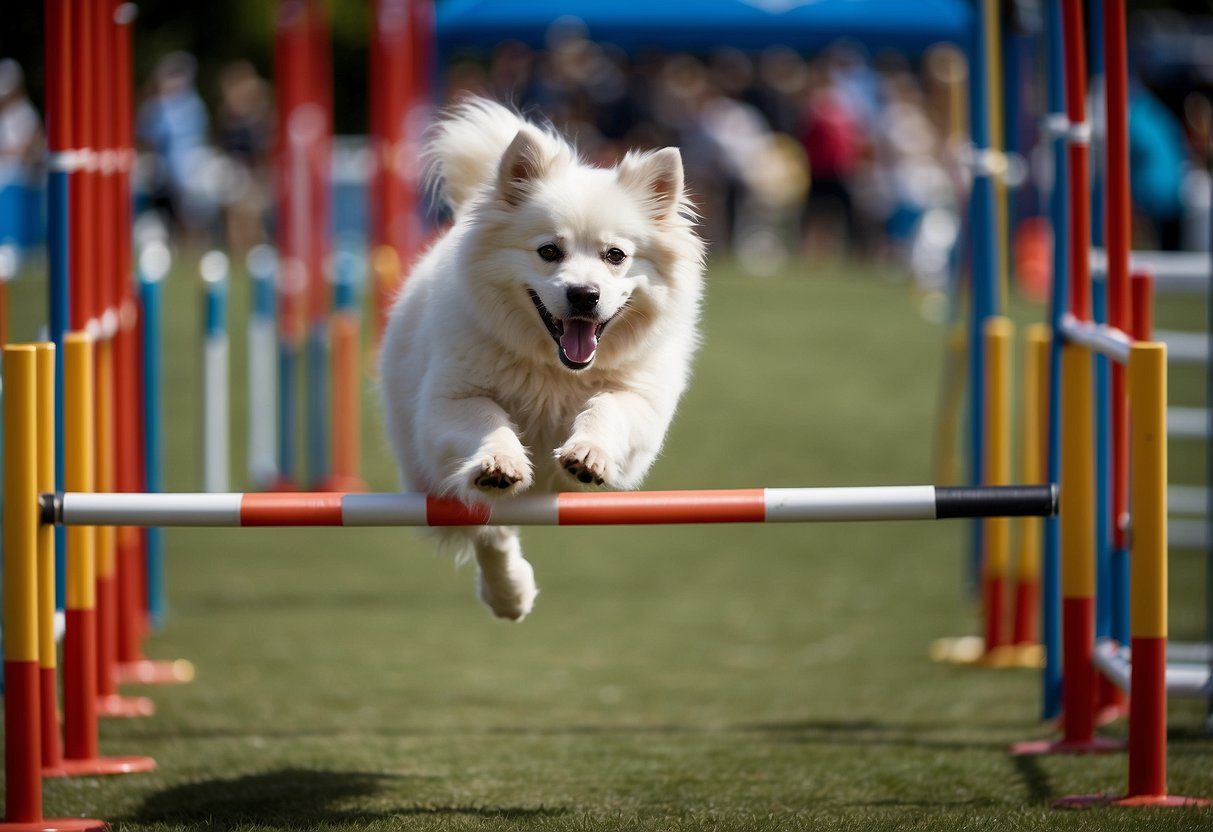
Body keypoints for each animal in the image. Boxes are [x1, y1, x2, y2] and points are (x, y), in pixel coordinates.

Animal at [376, 99, 703, 618]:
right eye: (549, 251)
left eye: (615, 256)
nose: (584, 295)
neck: (555, 371)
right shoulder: (451, 401)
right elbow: (489, 421)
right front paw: (500, 461)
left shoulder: (640, 402)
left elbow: (605, 408)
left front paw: (586, 454)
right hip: (433, 482)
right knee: (488, 528)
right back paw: (510, 593)